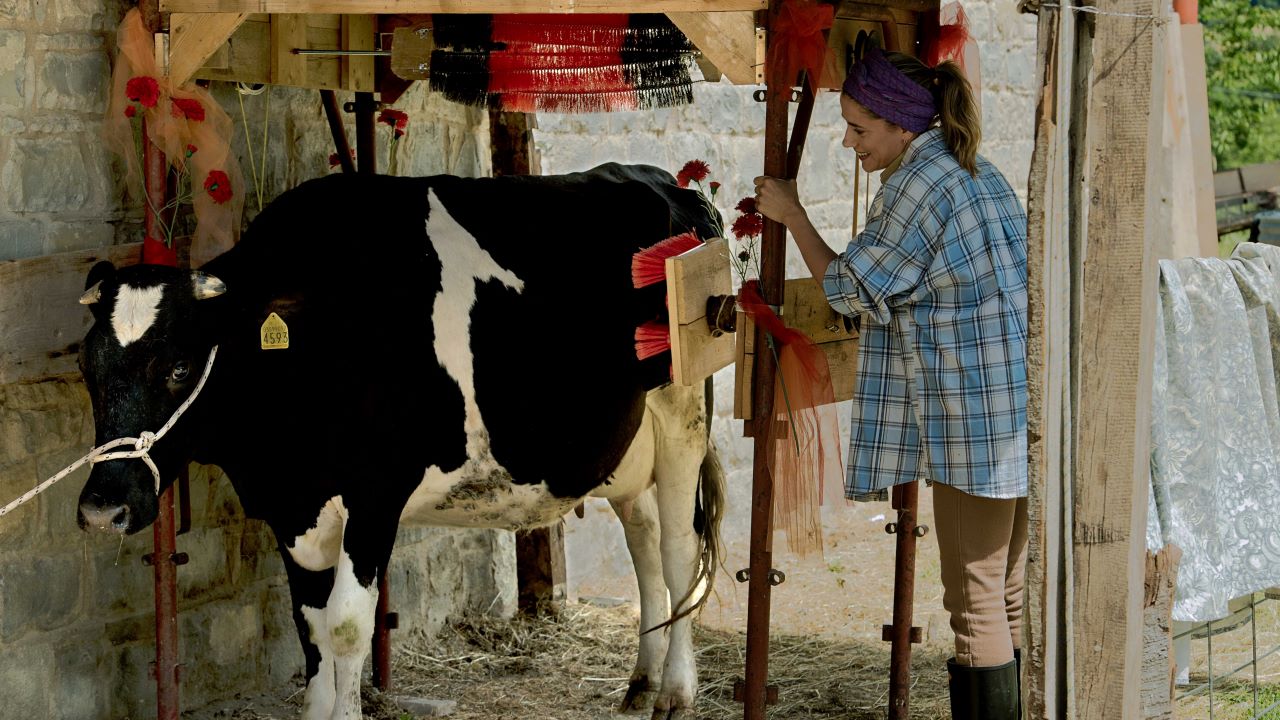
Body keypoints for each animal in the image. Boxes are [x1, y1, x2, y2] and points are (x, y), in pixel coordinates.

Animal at [74, 165, 727, 717]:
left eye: (179, 367)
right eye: (86, 366)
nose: (102, 509)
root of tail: (664, 181)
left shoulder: (375, 495)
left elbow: (345, 627)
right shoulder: (293, 509)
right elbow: (309, 626)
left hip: (682, 415)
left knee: (678, 548)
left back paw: (675, 690)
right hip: (624, 446)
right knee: (643, 538)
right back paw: (641, 680)